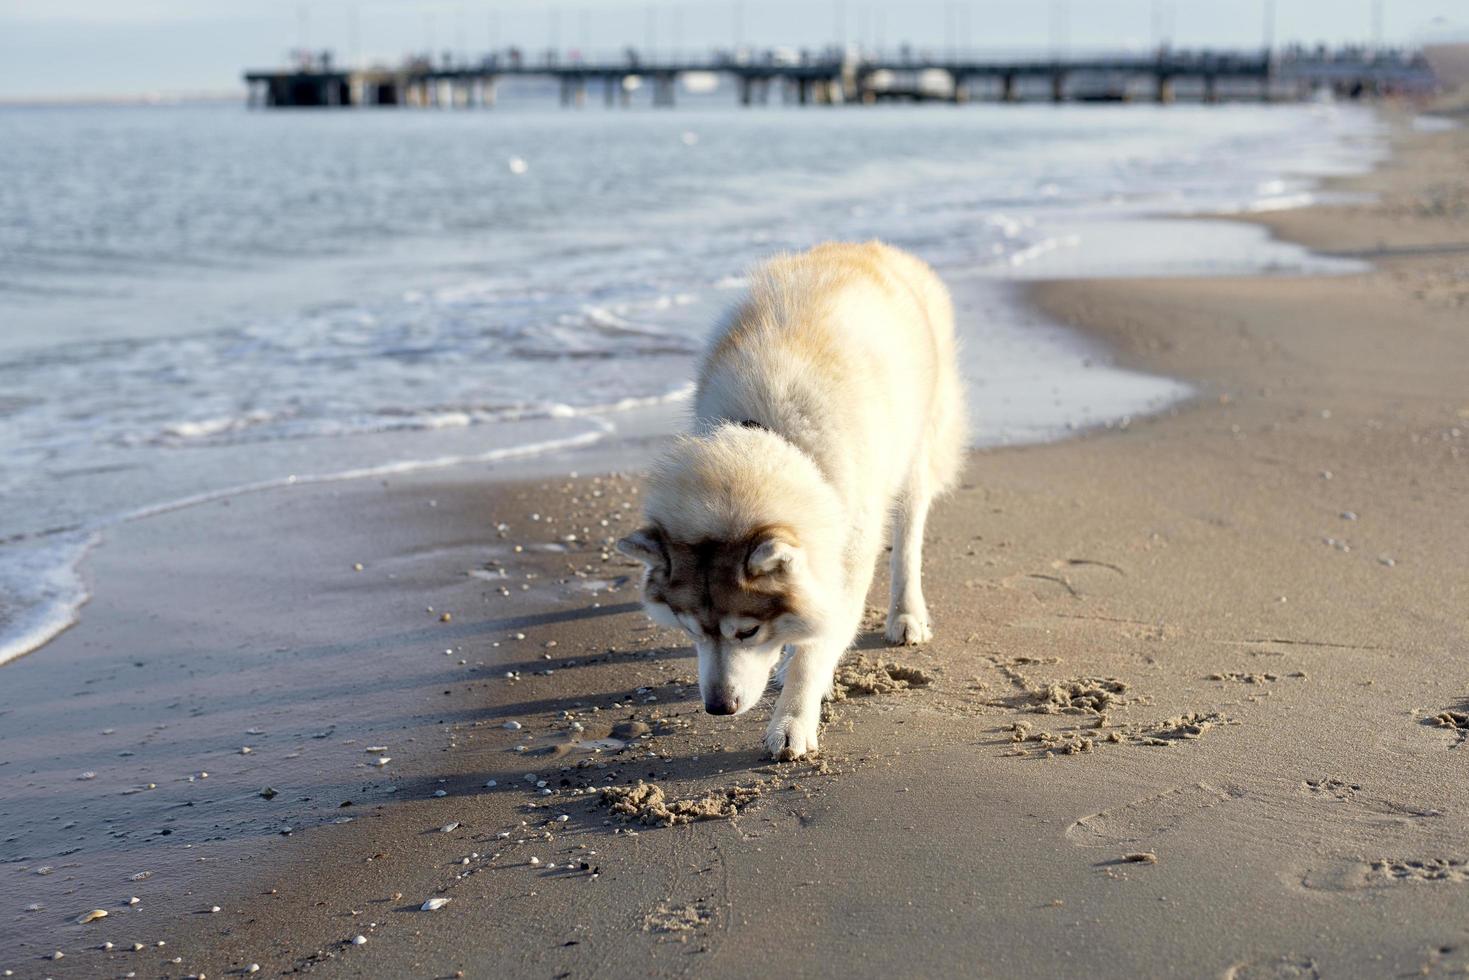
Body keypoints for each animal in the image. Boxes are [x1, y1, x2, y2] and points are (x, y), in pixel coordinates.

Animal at [616, 243, 963, 758]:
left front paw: (793, 719)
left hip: (915, 451)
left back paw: (907, 614)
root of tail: (875, 247)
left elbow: (817, 646)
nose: (718, 708)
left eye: (747, 631)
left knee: (908, 540)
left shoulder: (845, 551)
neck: (771, 438)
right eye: (691, 628)